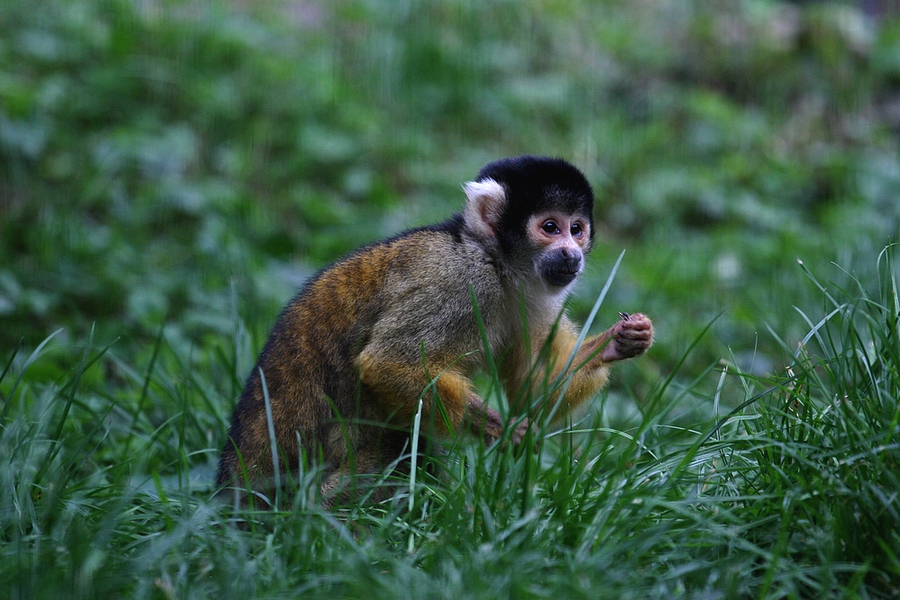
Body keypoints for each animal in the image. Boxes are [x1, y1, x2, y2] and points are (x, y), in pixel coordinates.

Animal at [218, 156, 652, 506]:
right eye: (550, 227)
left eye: (576, 229)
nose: (571, 253)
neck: (495, 262)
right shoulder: (460, 284)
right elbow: (387, 362)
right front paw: (490, 424)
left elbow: (531, 386)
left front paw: (617, 342)